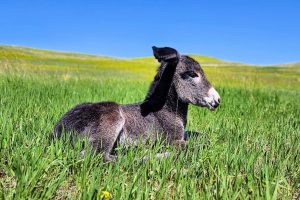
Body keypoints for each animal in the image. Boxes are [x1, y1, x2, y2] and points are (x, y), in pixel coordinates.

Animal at [52, 46, 220, 161]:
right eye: (192, 74)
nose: (217, 100)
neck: (164, 110)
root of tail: (56, 131)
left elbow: (200, 136)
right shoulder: (171, 139)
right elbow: (192, 145)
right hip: (111, 117)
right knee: (97, 156)